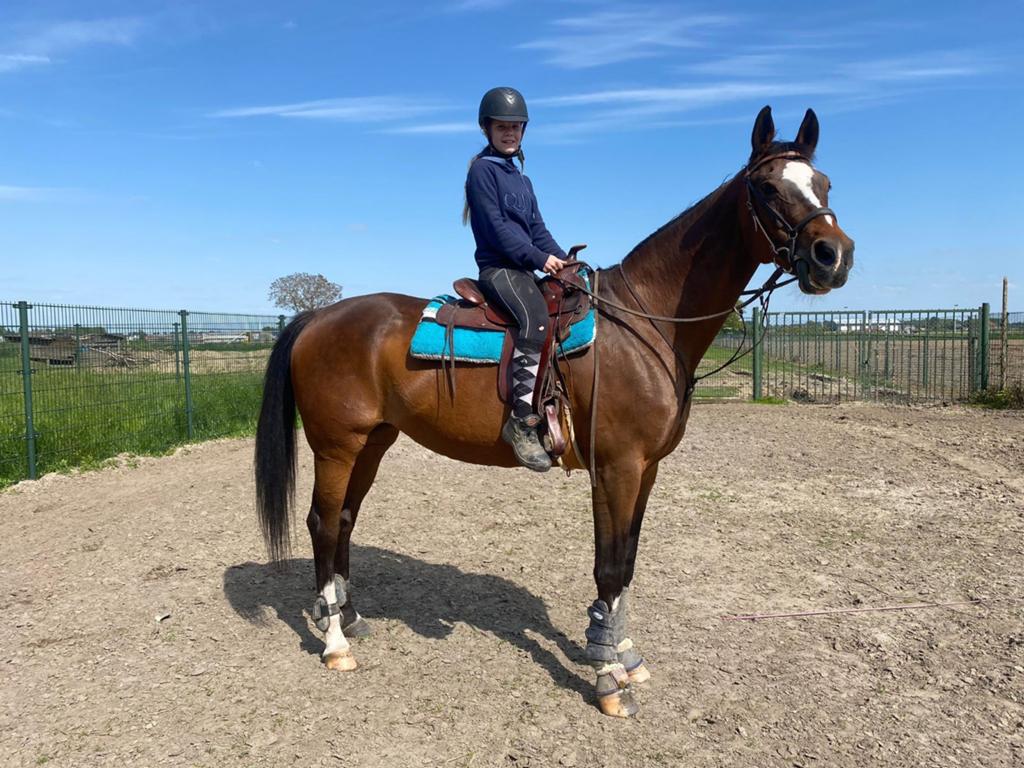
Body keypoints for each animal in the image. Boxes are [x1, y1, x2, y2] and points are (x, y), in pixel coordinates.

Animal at [254, 105, 855, 718]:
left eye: (825, 183)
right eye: (767, 187)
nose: (834, 256)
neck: (644, 322)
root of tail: (318, 316)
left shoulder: (646, 470)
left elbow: (627, 561)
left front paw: (624, 654)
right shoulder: (616, 467)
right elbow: (609, 566)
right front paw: (608, 677)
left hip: (372, 443)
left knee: (345, 522)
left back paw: (349, 618)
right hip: (336, 446)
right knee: (323, 522)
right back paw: (335, 643)